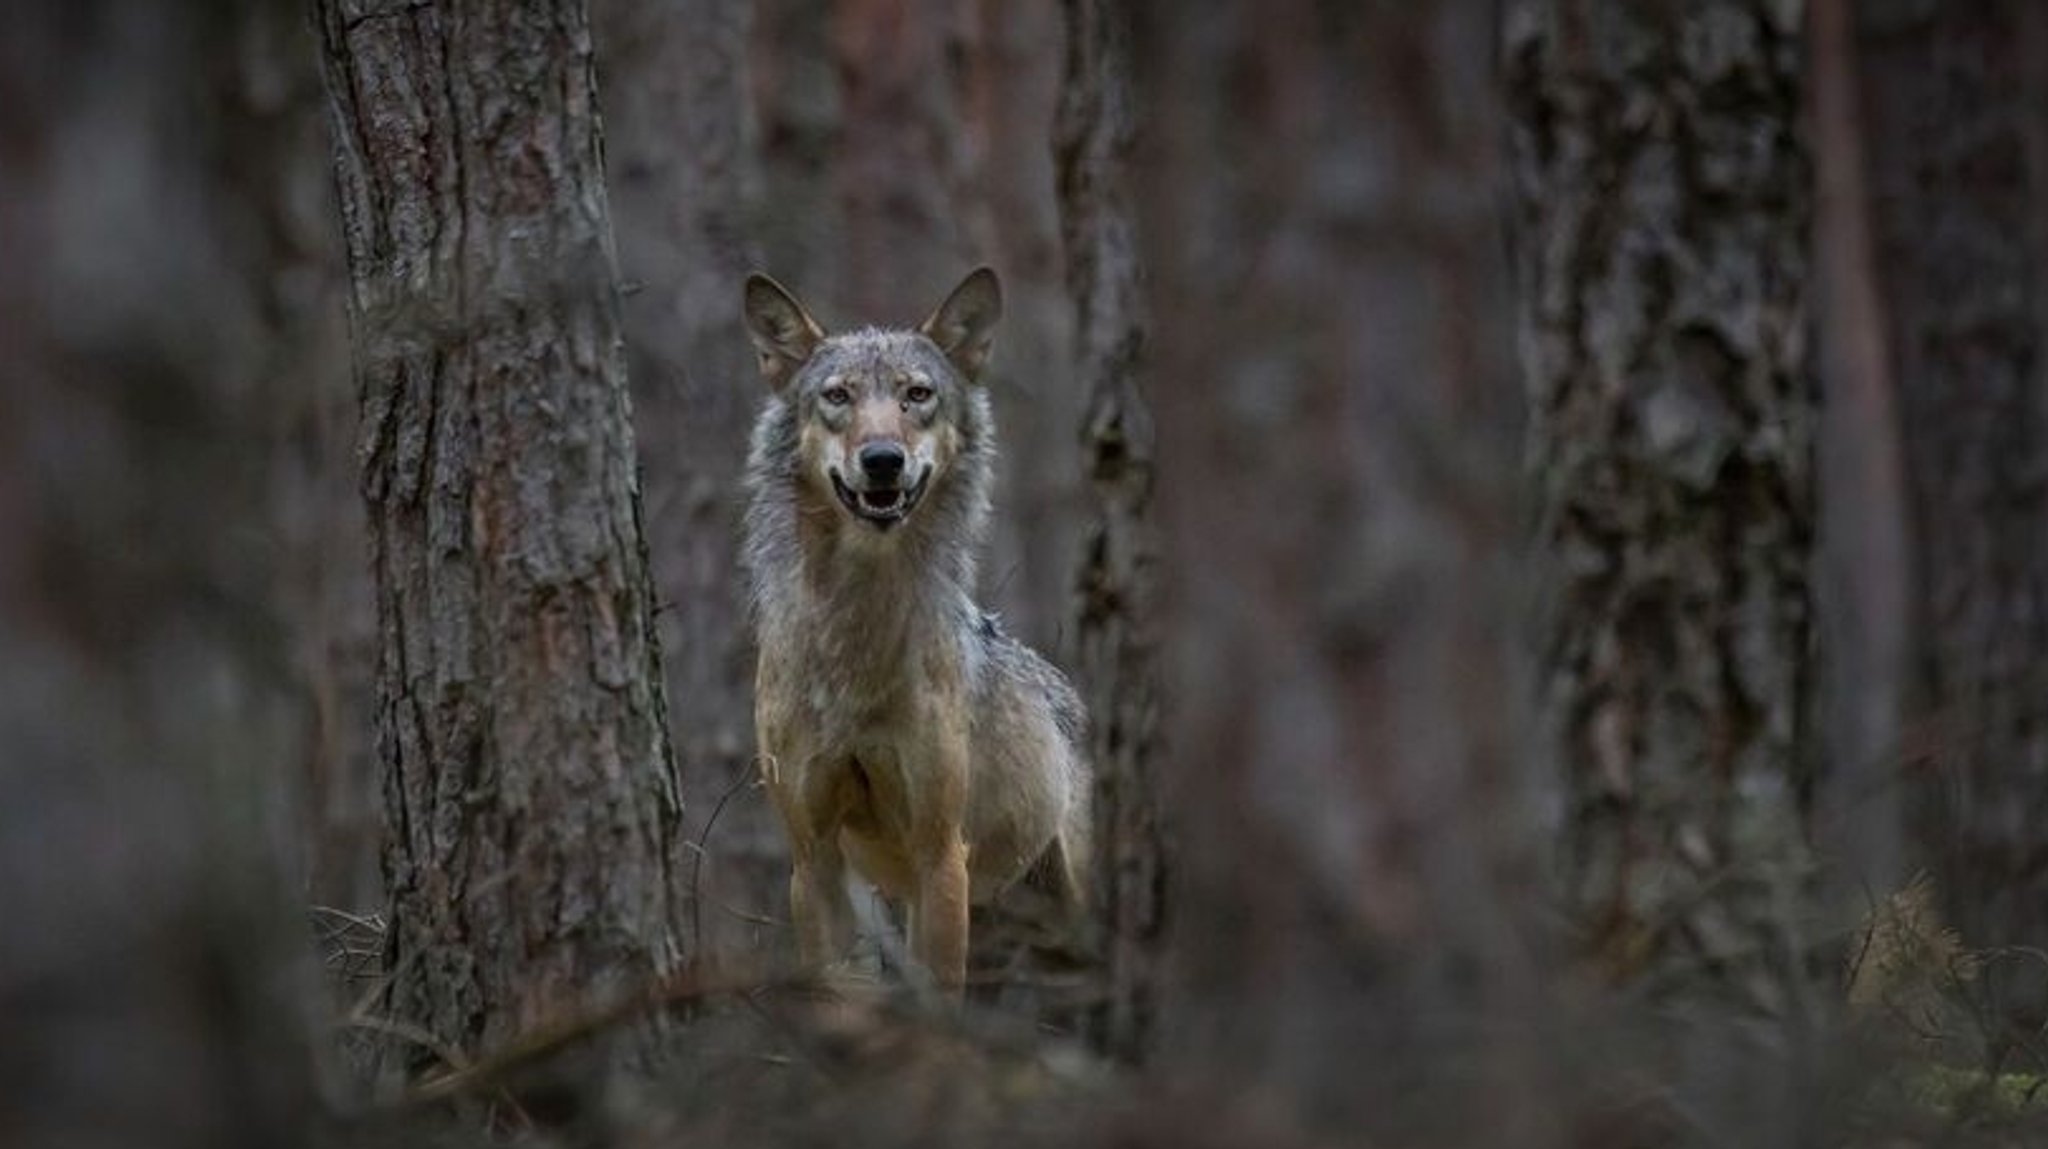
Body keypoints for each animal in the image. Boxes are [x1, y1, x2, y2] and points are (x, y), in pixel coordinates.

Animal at [737, 264, 1089, 991]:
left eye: (917, 395)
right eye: (837, 396)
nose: (881, 459)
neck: (854, 647)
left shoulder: (940, 854)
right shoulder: (812, 857)